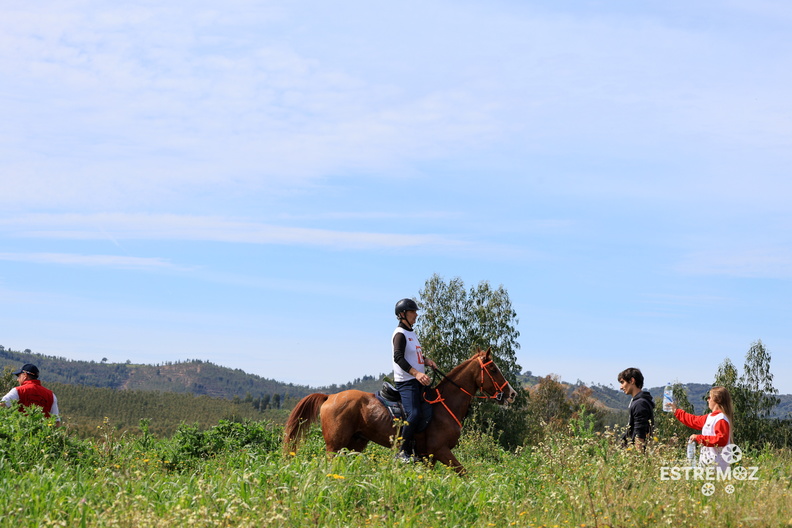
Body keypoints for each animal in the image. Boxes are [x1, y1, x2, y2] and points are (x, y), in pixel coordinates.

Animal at [282, 348, 516, 472]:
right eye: (493, 369)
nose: (512, 394)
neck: (445, 405)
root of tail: (330, 397)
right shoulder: (441, 450)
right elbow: (464, 473)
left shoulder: (429, 456)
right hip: (334, 446)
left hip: (355, 444)